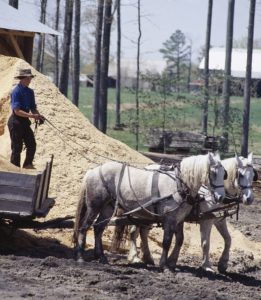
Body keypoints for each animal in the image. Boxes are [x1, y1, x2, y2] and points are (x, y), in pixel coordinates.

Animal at [73, 152, 225, 270]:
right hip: (94, 206)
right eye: (213, 172)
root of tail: (92, 171)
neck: (178, 184)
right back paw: (80, 256)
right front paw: (164, 265)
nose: (221, 197)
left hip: (108, 208)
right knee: (84, 227)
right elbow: (167, 241)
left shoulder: (179, 218)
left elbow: (180, 240)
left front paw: (171, 263)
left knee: (98, 228)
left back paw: (102, 257)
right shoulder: (169, 218)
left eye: (224, 174)